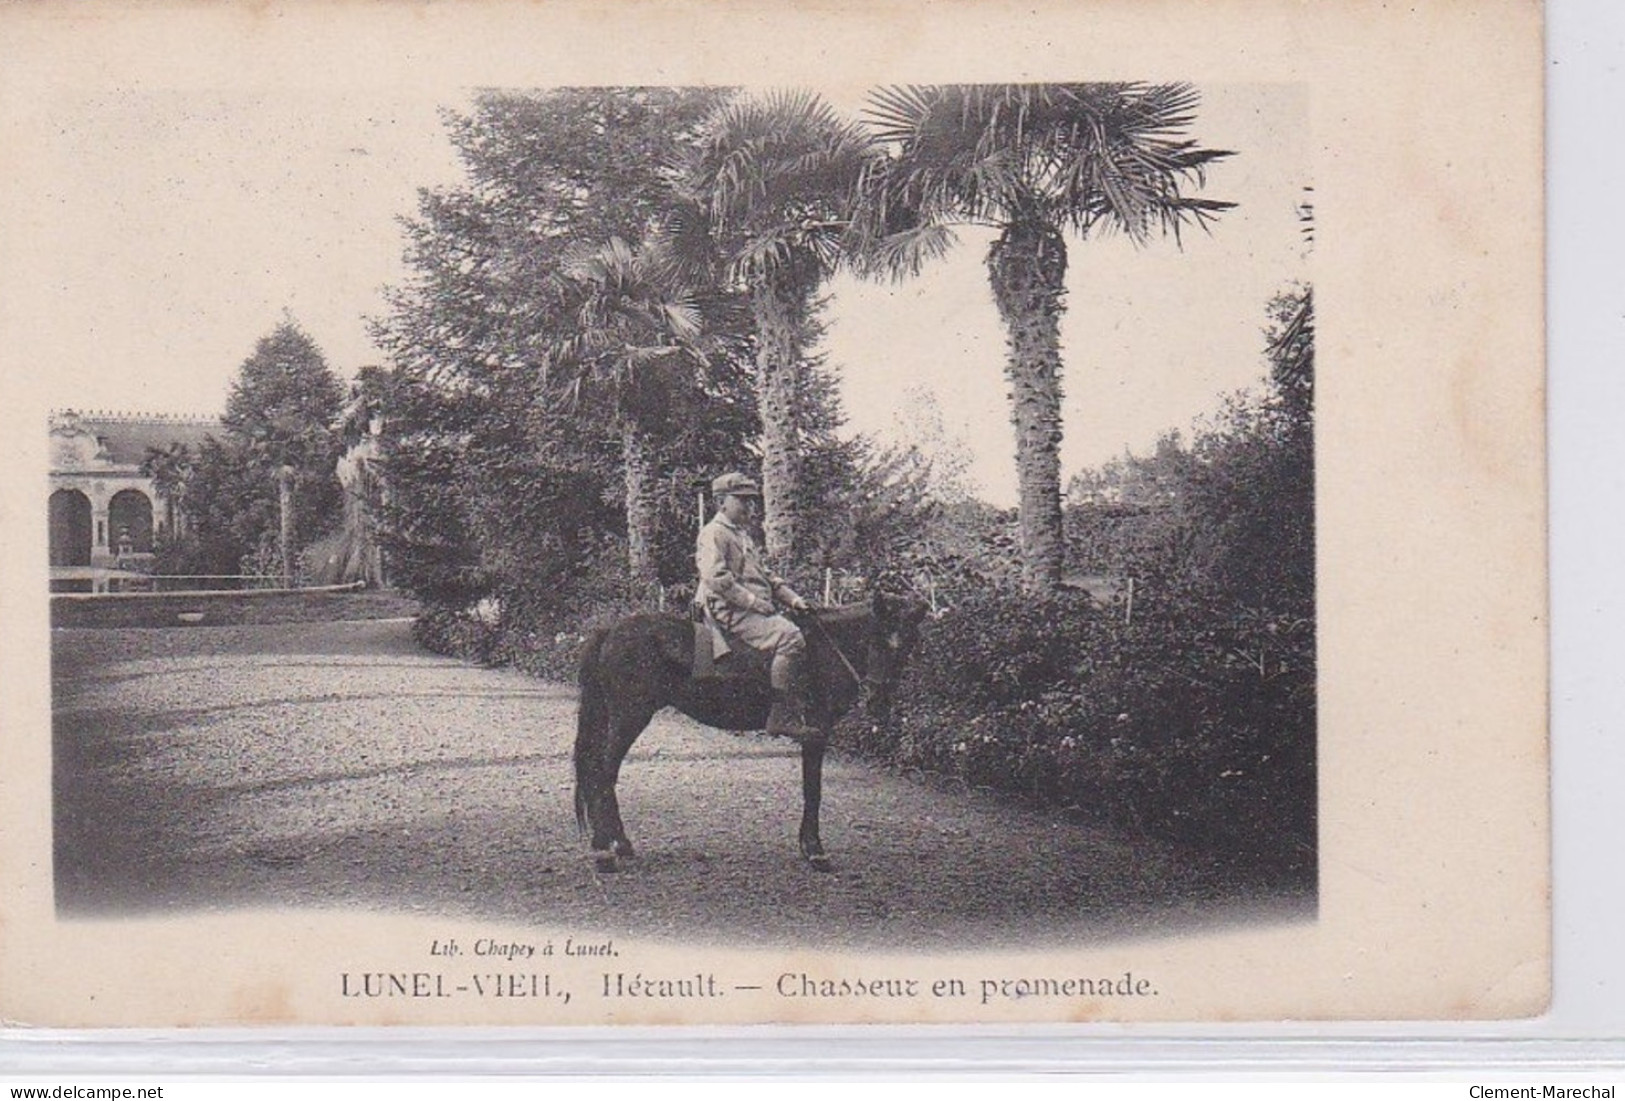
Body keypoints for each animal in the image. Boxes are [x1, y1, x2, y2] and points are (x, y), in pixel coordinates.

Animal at [572, 600, 929, 876]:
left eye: (908, 645)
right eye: (876, 639)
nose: (878, 701)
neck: (824, 650)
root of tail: (610, 631)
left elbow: (810, 788)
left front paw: (807, 846)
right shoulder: (816, 731)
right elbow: (813, 790)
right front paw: (815, 851)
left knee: (601, 775)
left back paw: (620, 844)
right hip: (630, 717)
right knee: (602, 775)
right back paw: (604, 853)